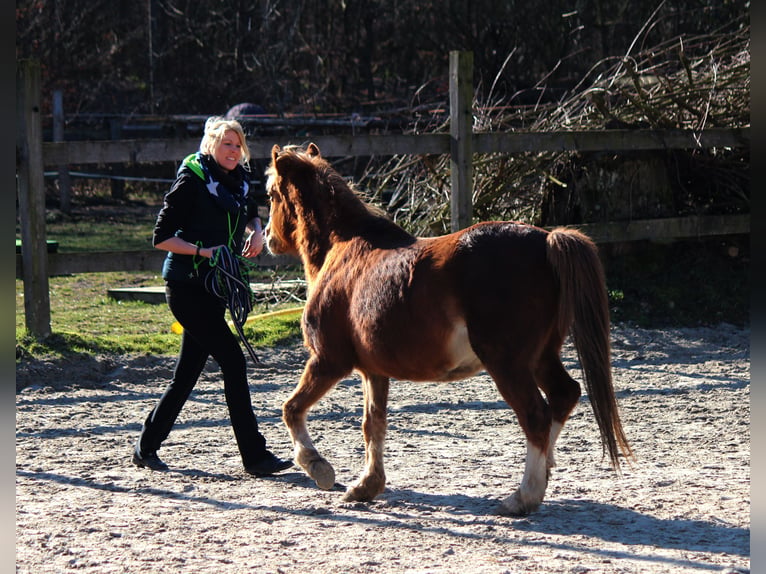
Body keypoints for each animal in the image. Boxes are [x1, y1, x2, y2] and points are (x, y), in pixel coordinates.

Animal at [263, 143, 632, 516]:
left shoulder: (328, 360)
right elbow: (373, 425)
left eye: (270, 194)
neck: (343, 248)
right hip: (541, 357)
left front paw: (318, 467)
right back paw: (544, 475)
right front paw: (366, 485)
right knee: (564, 395)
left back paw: (522, 497)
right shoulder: (373, 371)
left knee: (536, 416)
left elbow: (291, 409)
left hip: (508, 364)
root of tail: (546, 241)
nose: (266, 238)